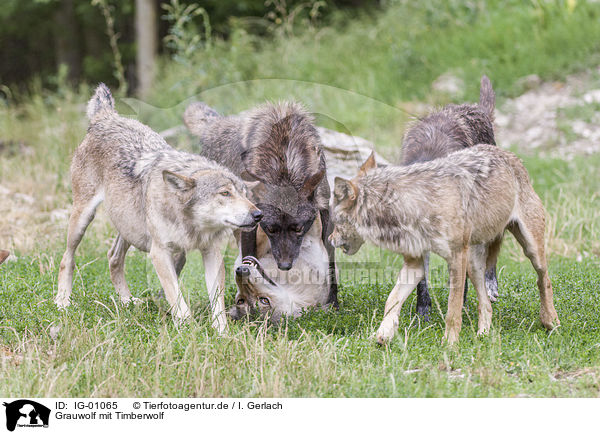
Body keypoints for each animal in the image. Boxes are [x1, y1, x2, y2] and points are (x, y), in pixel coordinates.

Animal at [56, 85, 262, 332]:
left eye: (244, 194)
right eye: (225, 193)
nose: (258, 215)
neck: (192, 225)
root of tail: (106, 117)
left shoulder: (211, 252)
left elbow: (217, 301)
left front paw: (222, 333)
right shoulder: (159, 253)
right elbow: (177, 297)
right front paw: (187, 330)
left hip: (131, 228)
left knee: (113, 257)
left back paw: (127, 301)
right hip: (83, 219)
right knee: (67, 259)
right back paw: (63, 301)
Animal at [183, 101, 338, 318]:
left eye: (299, 229)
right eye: (270, 229)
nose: (285, 266)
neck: (284, 163)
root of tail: (216, 125)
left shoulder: (324, 213)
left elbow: (331, 266)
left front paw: (334, 306)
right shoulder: (251, 225)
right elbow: (249, 255)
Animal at [330, 147, 560, 344]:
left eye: (334, 220)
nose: (330, 240)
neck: (414, 205)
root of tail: (509, 155)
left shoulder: (456, 258)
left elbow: (452, 310)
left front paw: (449, 344)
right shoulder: (415, 264)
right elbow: (391, 300)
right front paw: (383, 334)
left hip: (530, 249)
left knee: (544, 280)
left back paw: (551, 321)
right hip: (474, 264)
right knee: (486, 304)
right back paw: (483, 335)